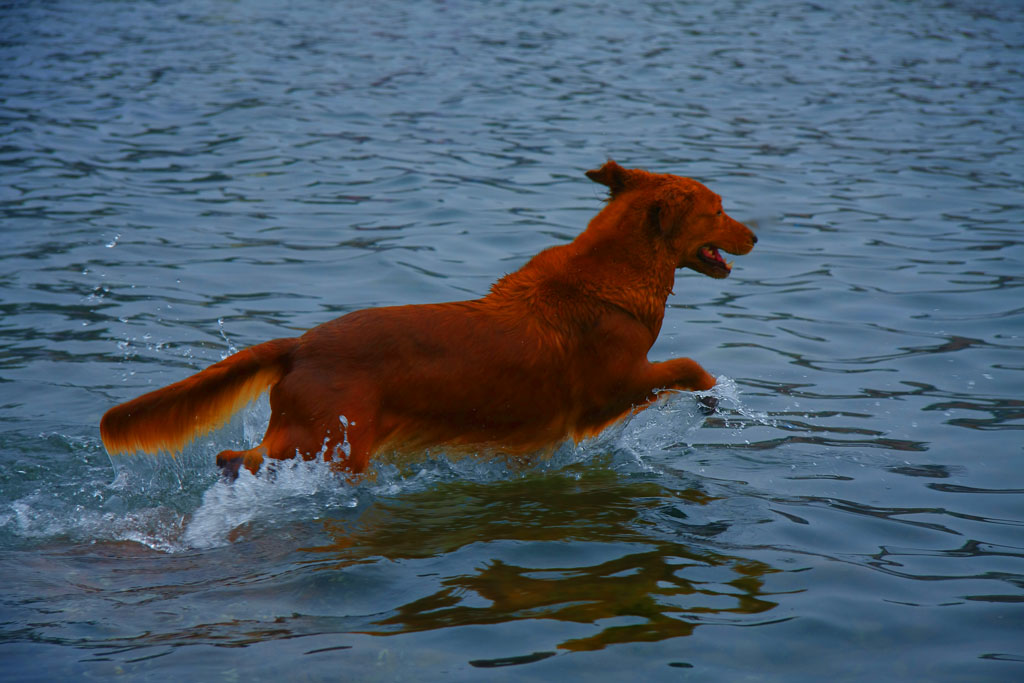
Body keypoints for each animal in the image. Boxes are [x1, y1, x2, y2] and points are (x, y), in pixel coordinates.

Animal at [99, 162, 757, 479]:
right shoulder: (610, 388)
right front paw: (714, 400)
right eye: (720, 209)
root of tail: (299, 345)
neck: (612, 274)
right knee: (241, 459)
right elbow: (688, 363)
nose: (756, 234)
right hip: (327, 444)